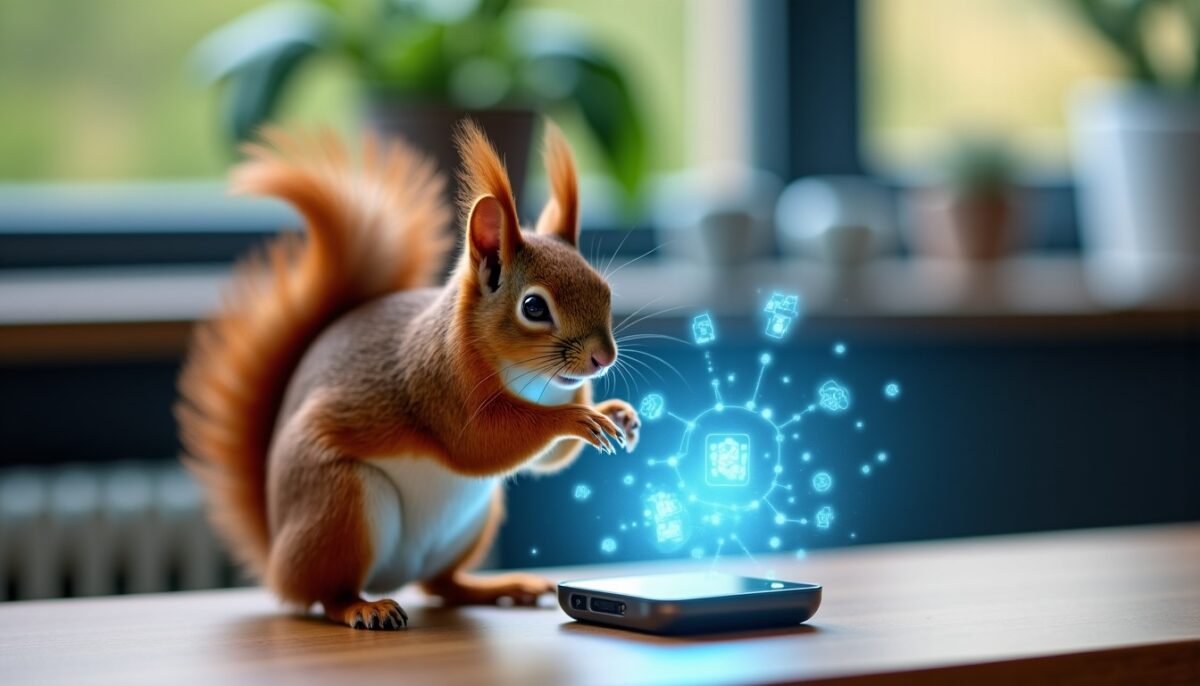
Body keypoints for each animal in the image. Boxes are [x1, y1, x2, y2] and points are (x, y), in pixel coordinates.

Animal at [177, 121, 639, 630]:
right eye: (534, 307)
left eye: (605, 290)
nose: (603, 358)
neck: (534, 384)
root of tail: (278, 558)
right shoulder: (437, 386)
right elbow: (482, 444)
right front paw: (575, 419)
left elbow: (546, 461)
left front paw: (617, 413)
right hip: (340, 505)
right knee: (327, 593)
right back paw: (364, 607)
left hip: (468, 524)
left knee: (441, 585)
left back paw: (500, 587)